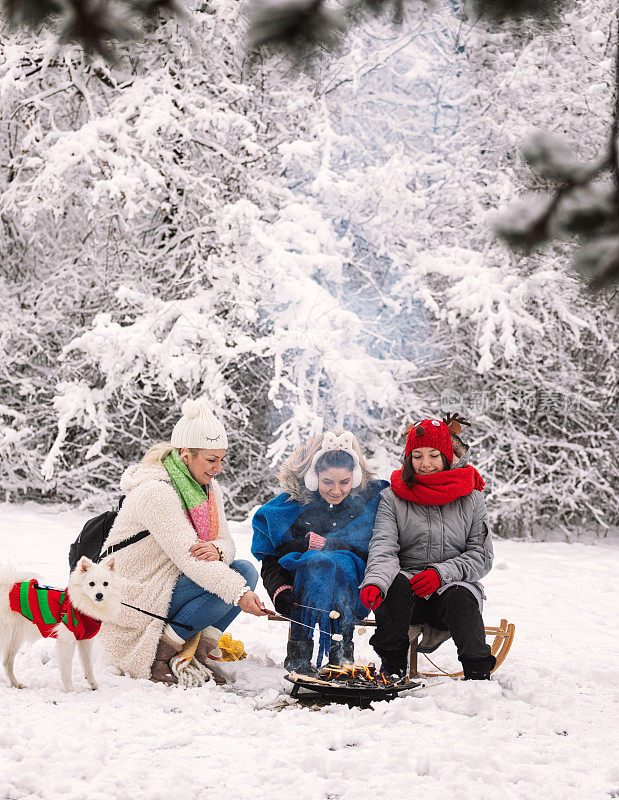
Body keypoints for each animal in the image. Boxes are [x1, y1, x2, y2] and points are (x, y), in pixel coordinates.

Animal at [0, 556, 121, 692]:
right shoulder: (66, 640)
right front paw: (70, 690)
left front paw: (93, 685)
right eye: (91, 583)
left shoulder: (85, 641)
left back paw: (16, 684)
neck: (82, 606)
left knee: (7, 662)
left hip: (15, 638)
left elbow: (88, 667)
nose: (99, 595)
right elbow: (67, 669)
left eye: (106, 584)